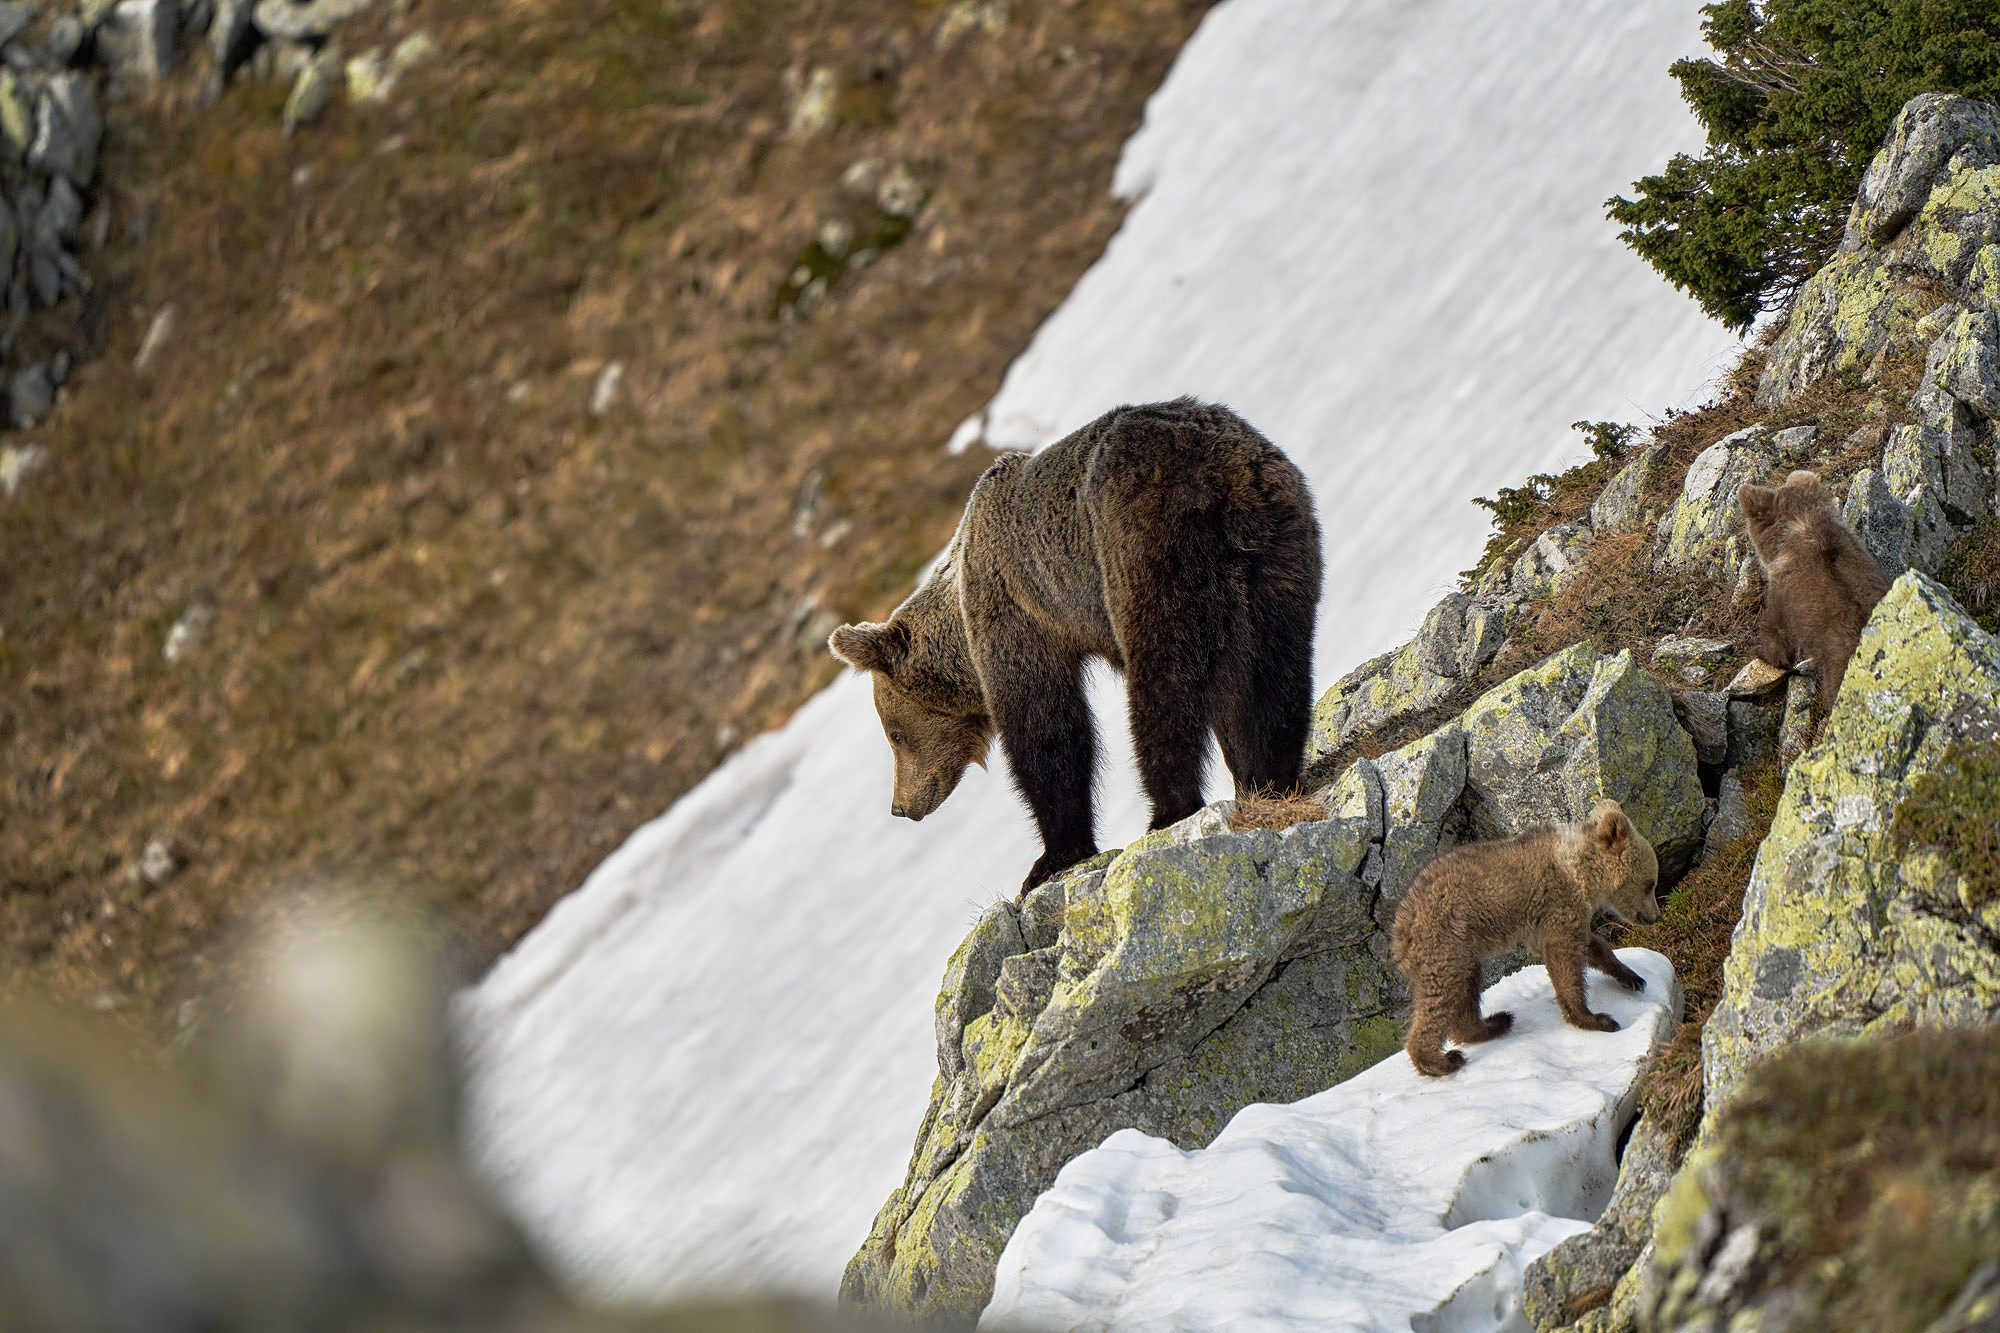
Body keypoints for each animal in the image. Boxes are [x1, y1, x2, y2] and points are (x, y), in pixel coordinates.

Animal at [832, 396, 1328, 892]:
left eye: (895, 735)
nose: (901, 807)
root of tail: (1214, 467)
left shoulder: (1016, 611)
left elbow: (1047, 727)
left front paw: (1052, 857)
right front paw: (1249, 775)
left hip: (1144, 549)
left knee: (1164, 686)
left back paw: (1168, 810)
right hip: (1278, 545)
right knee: (1275, 665)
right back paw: (1274, 778)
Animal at [1392, 792, 1656, 1072]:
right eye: (1650, 883)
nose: (1655, 916)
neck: (1583, 871)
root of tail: (1401, 924)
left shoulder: (1549, 919)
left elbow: (1590, 946)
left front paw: (1631, 976)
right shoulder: (1560, 901)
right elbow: (1564, 958)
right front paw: (1596, 1018)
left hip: (1463, 947)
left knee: (1465, 989)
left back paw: (1492, 1023)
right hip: (1445, 939)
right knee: (1442, 994)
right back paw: (1442, 1059)